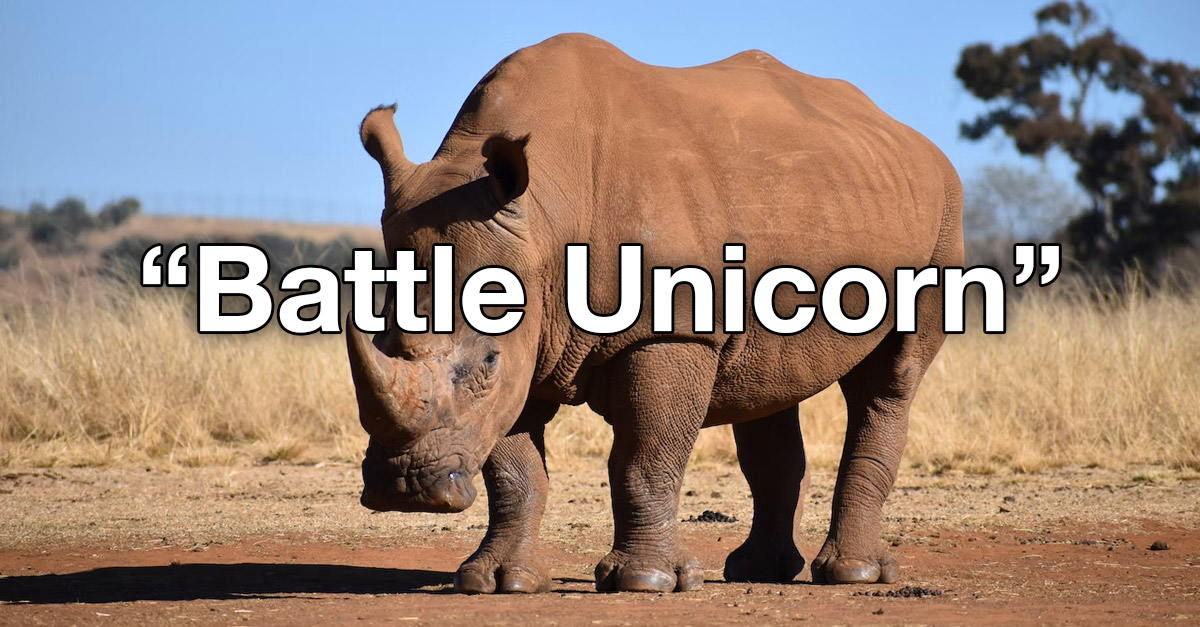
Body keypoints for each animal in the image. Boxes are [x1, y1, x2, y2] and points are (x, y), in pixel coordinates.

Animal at [347, 33, 963, 593]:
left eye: (487, 364)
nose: (402, 489)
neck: (545, 217)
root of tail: (911, 137)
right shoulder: (532, 336)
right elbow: (513, 469)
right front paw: (498, 582)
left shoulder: (668, 331)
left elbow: (642, 459)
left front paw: (646, 582)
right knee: (766, 383)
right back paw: (757, 571)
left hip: (945, 210)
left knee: (889, 381)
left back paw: (852, 574)